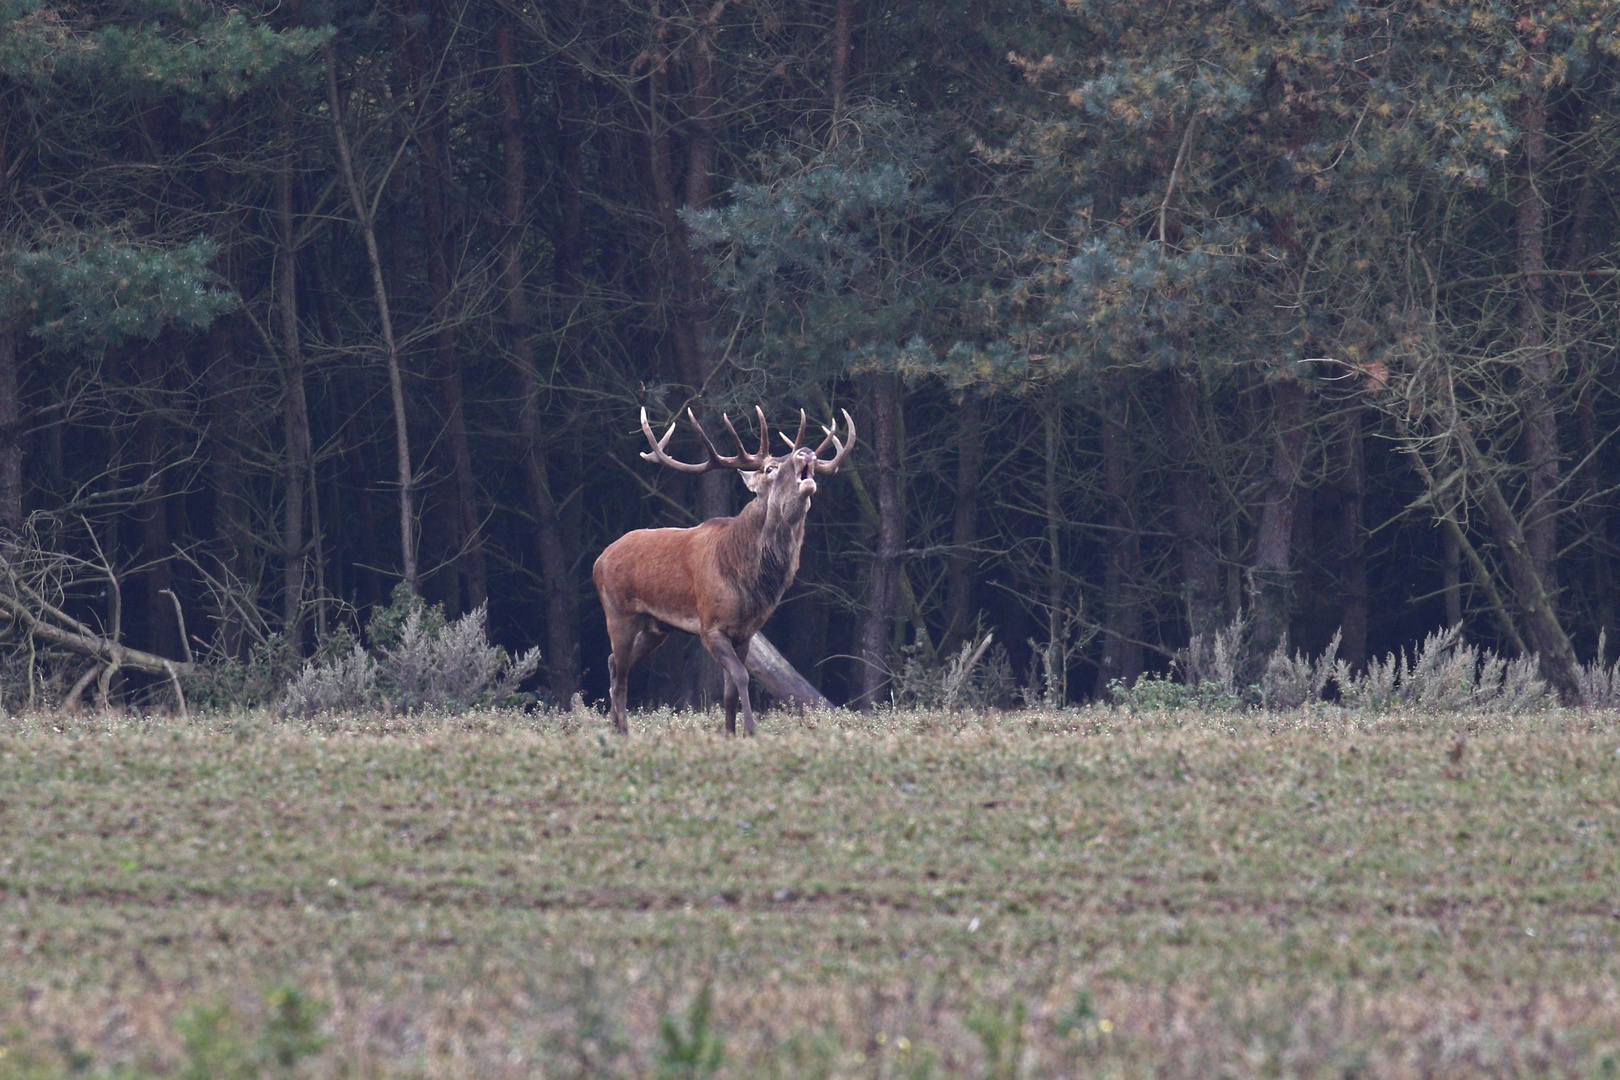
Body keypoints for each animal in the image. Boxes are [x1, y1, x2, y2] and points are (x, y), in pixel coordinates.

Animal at [592, 404, 848, 735]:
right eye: (770, 468)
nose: (806, 452)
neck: (743, 576)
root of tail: (598, 561)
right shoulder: (710, 625)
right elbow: (741, 676)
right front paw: (750, 730)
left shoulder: (746, 632)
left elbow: (728, 692)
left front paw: (729, 734)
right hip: (618, 611)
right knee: (620, 671)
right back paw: (621, 731)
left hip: (655, 626)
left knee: (614, 662)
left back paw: (615, 727)